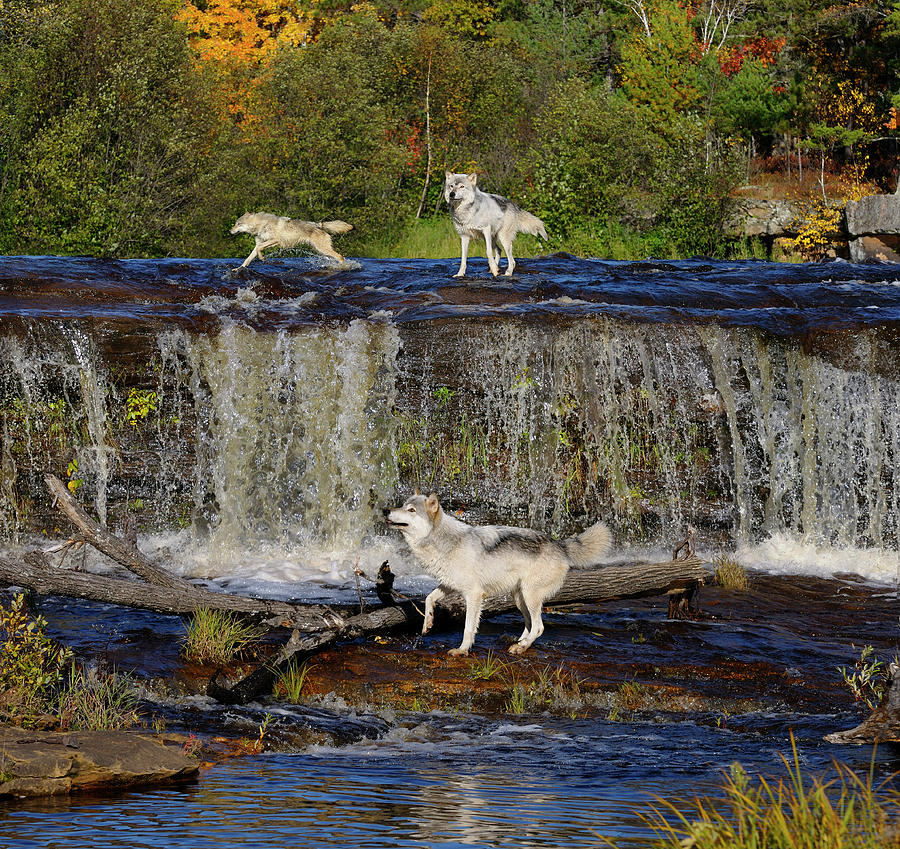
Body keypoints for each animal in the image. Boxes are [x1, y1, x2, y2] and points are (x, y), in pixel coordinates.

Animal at [382, 490, 612, 656]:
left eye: (411, 510)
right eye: (403, 505)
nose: (385, 510)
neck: (443, 542)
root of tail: (559, 544)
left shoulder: (474, 594)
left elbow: (468, 627)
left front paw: (462, 650)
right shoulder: (449, 584)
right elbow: (429, 598)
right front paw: (427, 624)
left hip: (529, 595)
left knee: (539, 627)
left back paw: (521, 647)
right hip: (519, 597)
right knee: (529, 624)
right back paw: (520, 642)